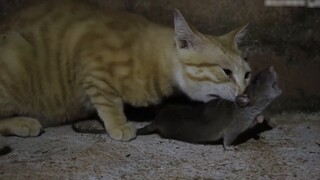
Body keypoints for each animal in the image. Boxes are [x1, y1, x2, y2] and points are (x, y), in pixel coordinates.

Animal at [0, 0, 251, 143]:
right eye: (226, 71)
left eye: (246, 74)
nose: (244, 94)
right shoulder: (93, 68)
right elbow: (109, 101)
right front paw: (118, 124)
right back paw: (24, 123)